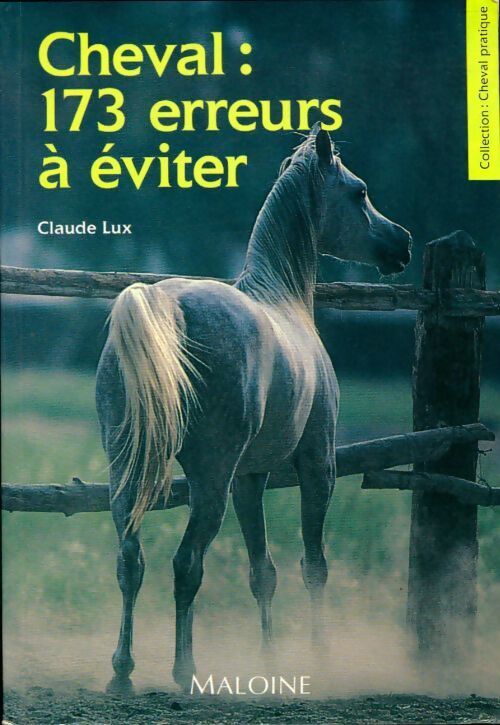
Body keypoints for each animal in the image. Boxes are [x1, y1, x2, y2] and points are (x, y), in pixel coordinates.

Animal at [96, 124, 412, 692]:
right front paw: (318, 656)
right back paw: (184, 671)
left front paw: (270, 660)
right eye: (360, 192)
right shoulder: (317, 466)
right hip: (210, 481)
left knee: (131, 561)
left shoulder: (250, 478)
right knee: (186, 564)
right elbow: (313, 566)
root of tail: (164, 305)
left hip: (129, 473)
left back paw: (123, 673)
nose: (402, 242)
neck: (282, 298)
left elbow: (262, 572)